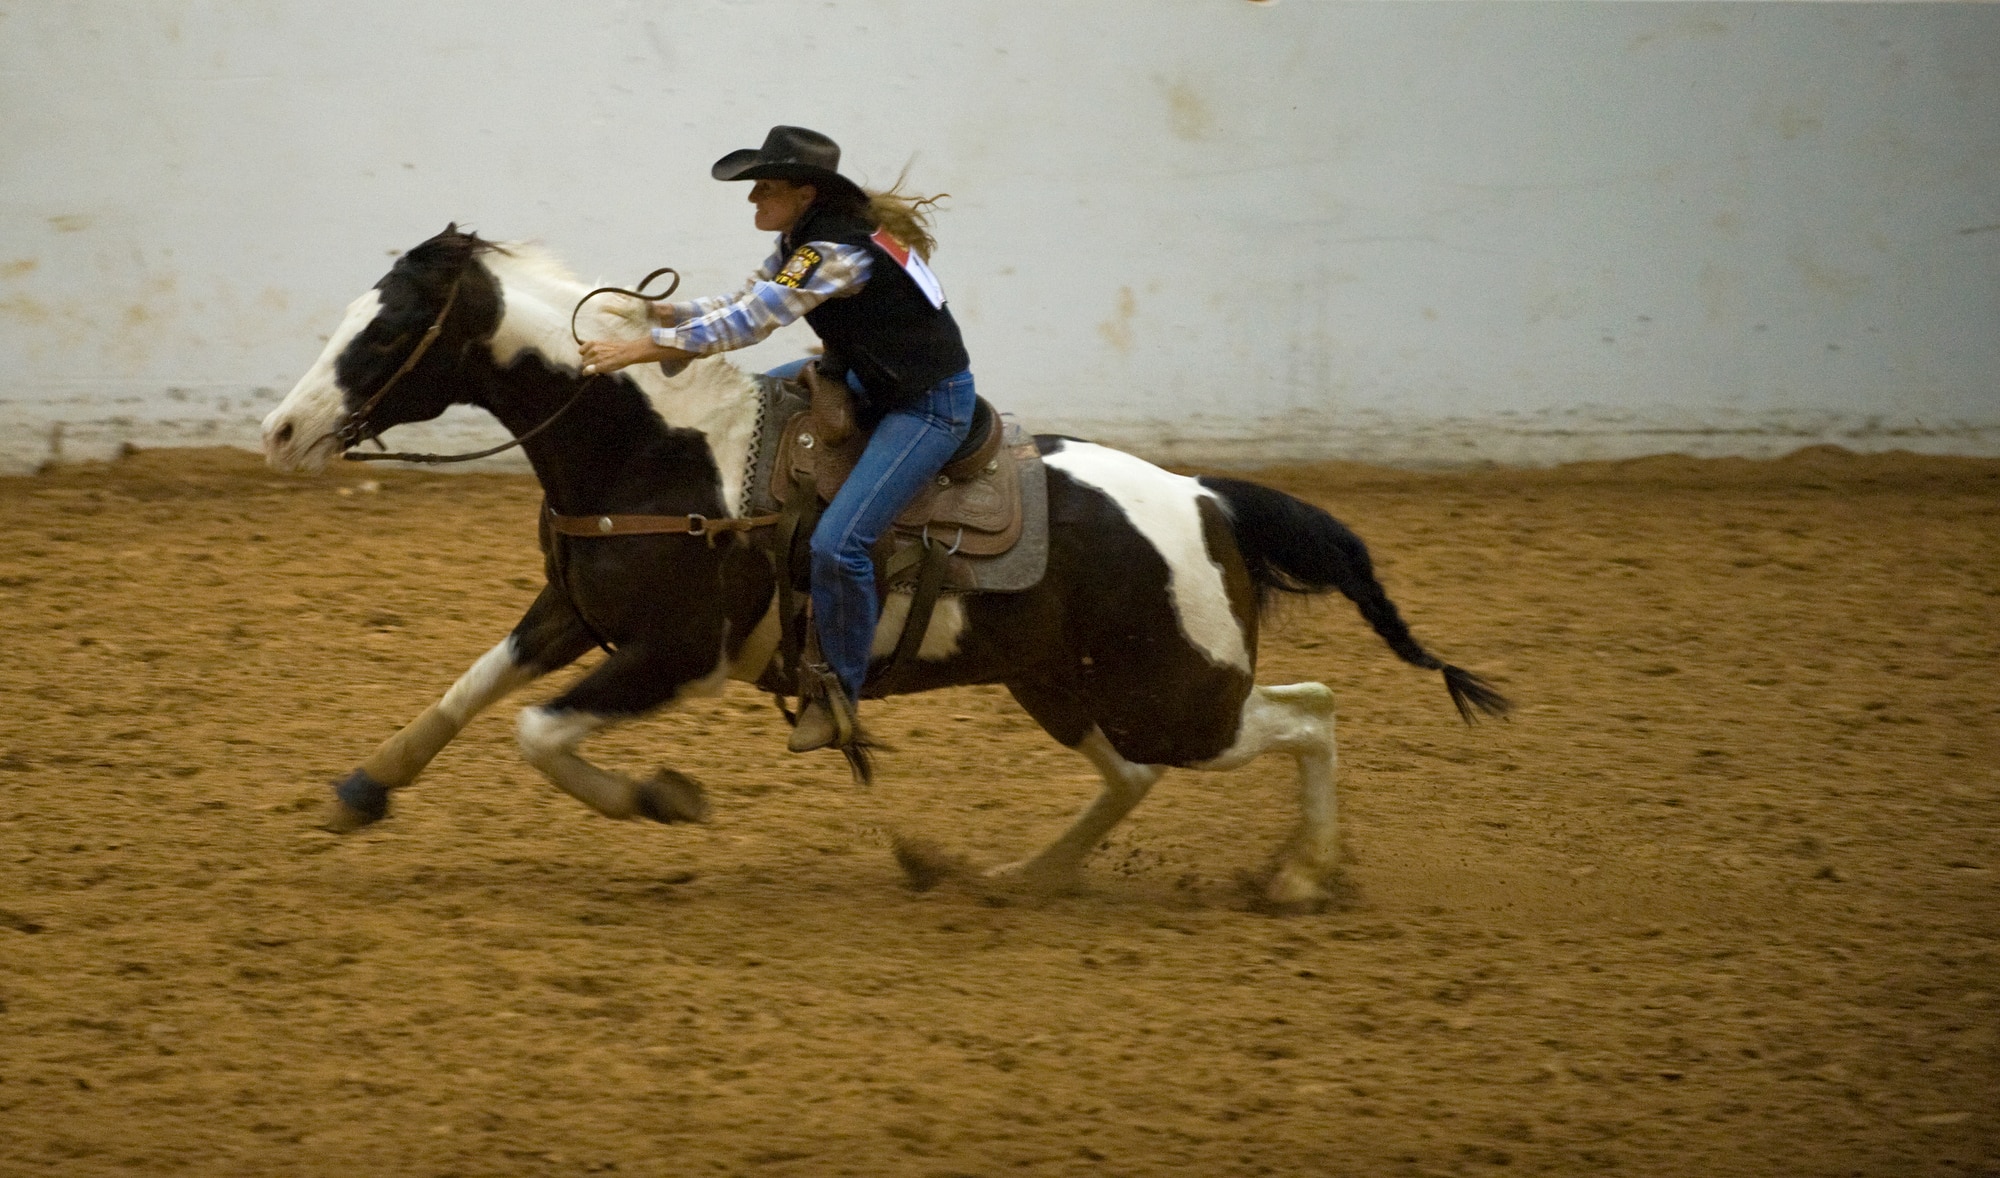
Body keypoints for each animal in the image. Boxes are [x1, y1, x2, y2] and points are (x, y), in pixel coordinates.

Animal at [266, 225, 1504, 904]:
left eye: (386, 331)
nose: (281, 430)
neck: (658, 449)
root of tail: (1209, 499)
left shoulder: (677, 653)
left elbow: (537, 730)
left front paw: (663, 795)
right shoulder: (571, 610)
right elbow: (467, 689)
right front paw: (361, 790)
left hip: (1173, 695)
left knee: (1309, 712)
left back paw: (1300, 875)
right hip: (1068, 685)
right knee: (1141, 772)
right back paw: (1015, 877)